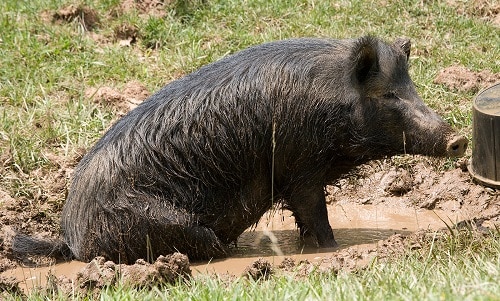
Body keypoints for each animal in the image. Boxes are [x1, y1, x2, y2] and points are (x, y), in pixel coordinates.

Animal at [14, 35, 468, 262]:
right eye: (389, 95)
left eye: (412, 87)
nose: (458, 138)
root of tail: (71, 238)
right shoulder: (299, 164)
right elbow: (314, 214)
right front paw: (331, 251)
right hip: (160, 224)